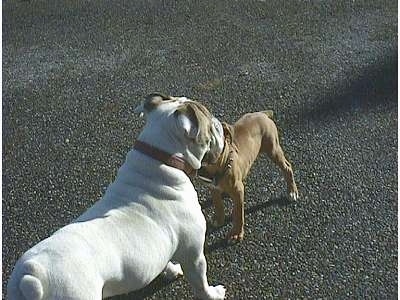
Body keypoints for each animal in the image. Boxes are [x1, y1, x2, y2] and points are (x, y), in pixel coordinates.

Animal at [198, 110, 298, 241]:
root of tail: (262, 113)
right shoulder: (213, 187)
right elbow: (217, 203)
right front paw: (219, 219)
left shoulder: (238, 191)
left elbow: (238, 213)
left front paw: (236, 234)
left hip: (273, 148)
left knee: (287, 167)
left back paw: (292, 191)